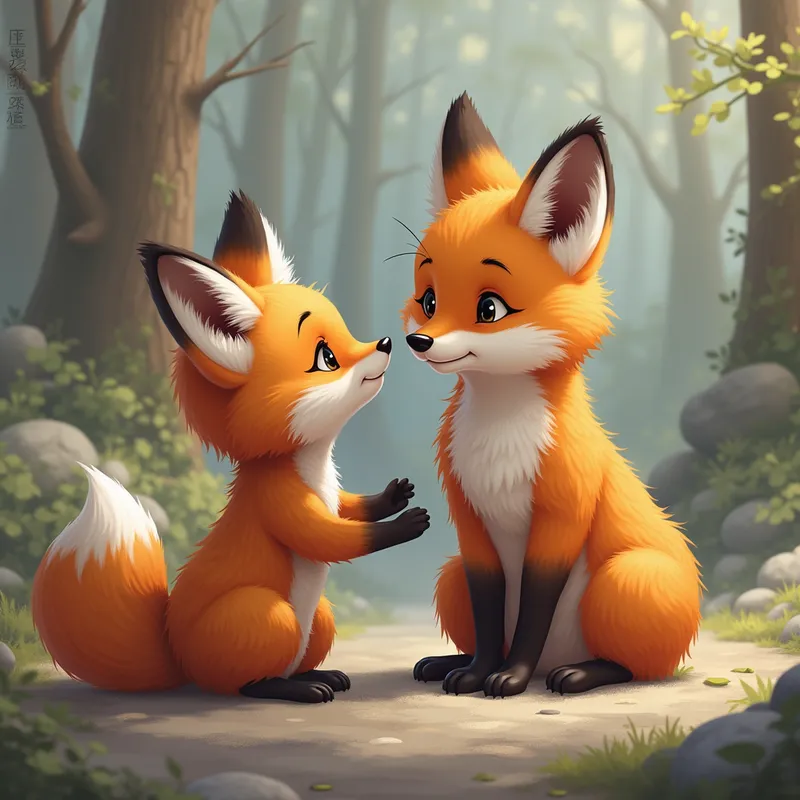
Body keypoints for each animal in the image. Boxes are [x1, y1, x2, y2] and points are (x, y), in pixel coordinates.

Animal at [32, 191, 430, 704]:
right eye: (326, 357)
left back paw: (319, 675)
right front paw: (406, 523)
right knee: (246, 683)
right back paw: (298, 688)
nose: (385, 342)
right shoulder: (280, 502)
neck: (314, 466)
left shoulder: (331, 496)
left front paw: (393, 495)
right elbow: (332, 537)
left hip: (319, 618)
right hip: (268, 615)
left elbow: (350, 507)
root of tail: (178, 657)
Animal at [401, 93, 702, 698]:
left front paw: (509, 678)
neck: (499, 441)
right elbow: (491, 611)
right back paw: (448, 661)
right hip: (448, 575)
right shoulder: (470, 524)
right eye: (428, 299)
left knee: (634, 667)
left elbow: (535, 607)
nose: (418, 341)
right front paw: (475, 672)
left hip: (624, 580)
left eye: (489, 308)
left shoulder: (562, 515)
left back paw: (577, 673)